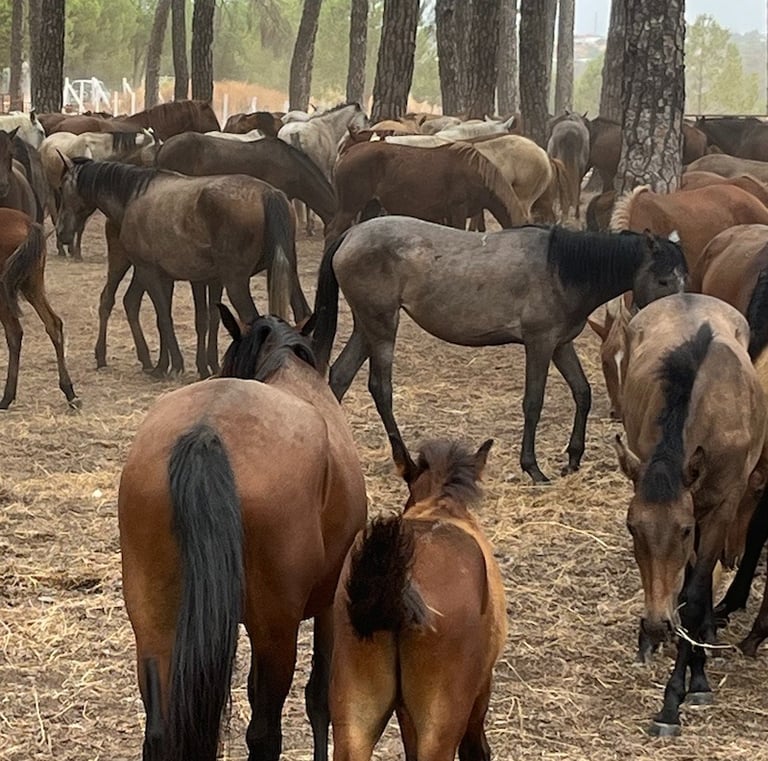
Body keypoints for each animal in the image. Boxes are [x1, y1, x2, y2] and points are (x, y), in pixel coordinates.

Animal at [55, 157, 310, 378]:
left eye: (62, 191)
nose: (60, 232)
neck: (133, 196)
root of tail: (268, 193)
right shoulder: (176, 277)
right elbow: (180, 318)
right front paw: (169, 364)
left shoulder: (150, 271)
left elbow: (164, 318)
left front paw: (172, 365)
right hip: (287, 274)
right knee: (302, 313)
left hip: (234, 282)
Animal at [118, 306, 367, 761]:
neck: (285, 363)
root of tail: (206, 432)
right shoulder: (329, 602)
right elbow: (320, 696)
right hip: (275, 631)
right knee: (265, 733)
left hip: (153, 623)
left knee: (159, 732)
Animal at [312, 216, 687, 483]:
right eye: (664, 279)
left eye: (684, 276)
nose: (677, 323)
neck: (560, 270)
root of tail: (351, 235)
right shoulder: (539, 343)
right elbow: (533, 402)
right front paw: (532, 468)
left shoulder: (560, 344)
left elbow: (583, 393)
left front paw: (573, 458)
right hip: (381, 326)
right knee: (380, 388)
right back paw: (403, 457)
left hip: (367, 326)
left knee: (339, 377)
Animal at [325, 141, 527, 243]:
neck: (476, 172)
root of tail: (347, 153)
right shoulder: (458, 210)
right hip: (350, 206)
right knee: (332, 232)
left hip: (371, 205)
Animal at [614, 293, 768, 736]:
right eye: (632, 527)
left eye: (682, 530)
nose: (654, 624)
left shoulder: (721, 507)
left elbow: (696, 594)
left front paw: (678, 696)